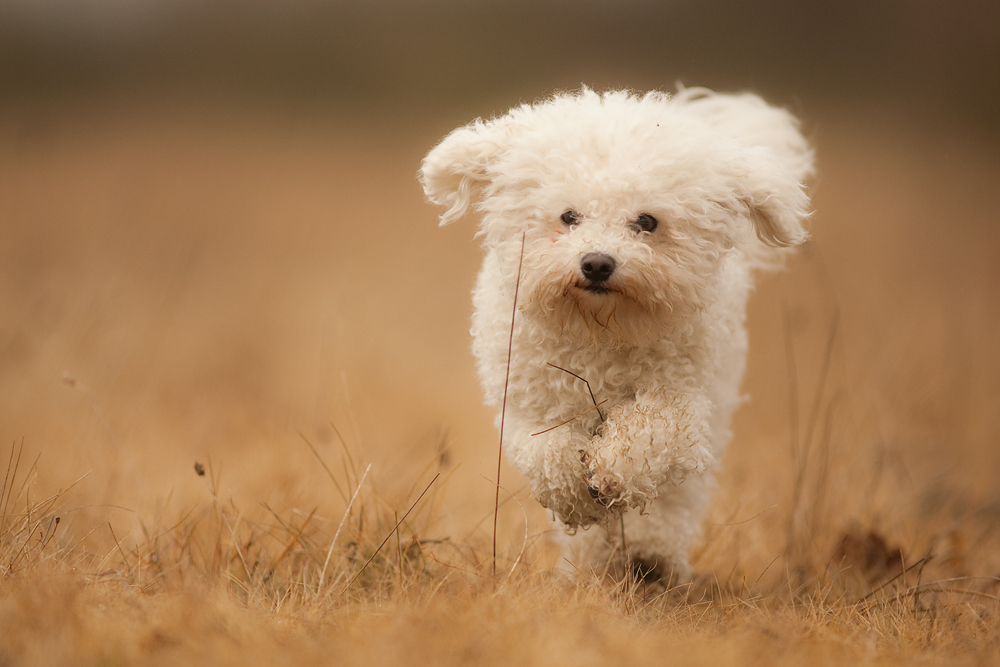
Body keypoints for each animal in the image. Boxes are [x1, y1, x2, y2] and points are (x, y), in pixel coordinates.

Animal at [422, 88, 812, 584]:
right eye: (569, 216)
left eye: (646, 222)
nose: (597, 263)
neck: (601, 333)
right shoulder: (529, 398)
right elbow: (546, 449)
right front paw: (574, 494)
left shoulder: (680, 397)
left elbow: (645, 438)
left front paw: (610, 472)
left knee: (674, 502)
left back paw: (651, 556)